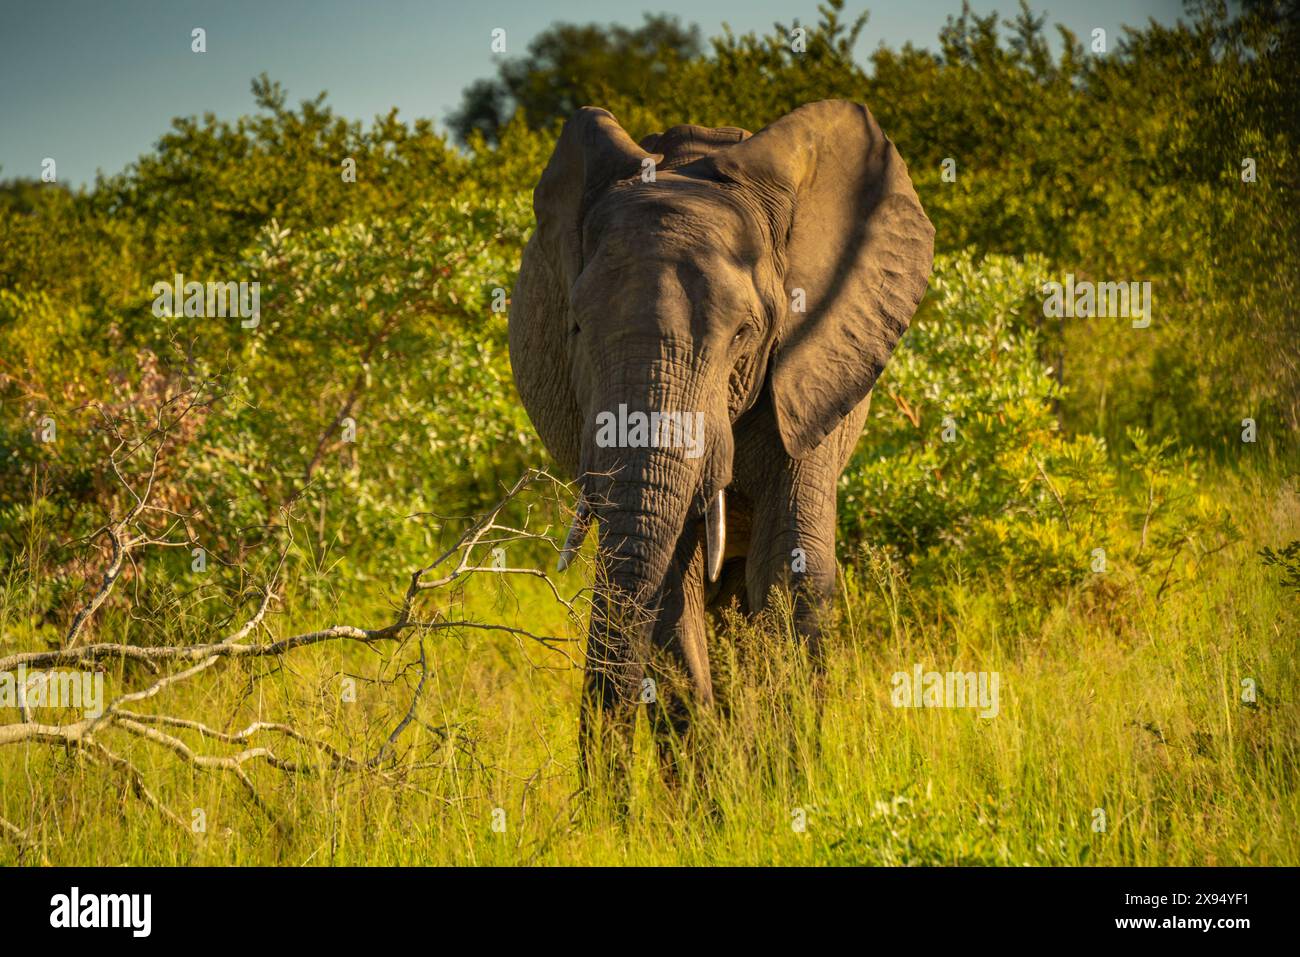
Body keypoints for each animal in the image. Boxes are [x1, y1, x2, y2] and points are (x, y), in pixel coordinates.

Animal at [506, 100, 935, 790]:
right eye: (574, 327)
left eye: (744, 334)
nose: (604, 806)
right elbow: (667, 590)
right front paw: (716, 799)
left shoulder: (812, 365)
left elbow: (790, 569)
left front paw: (786, 792)